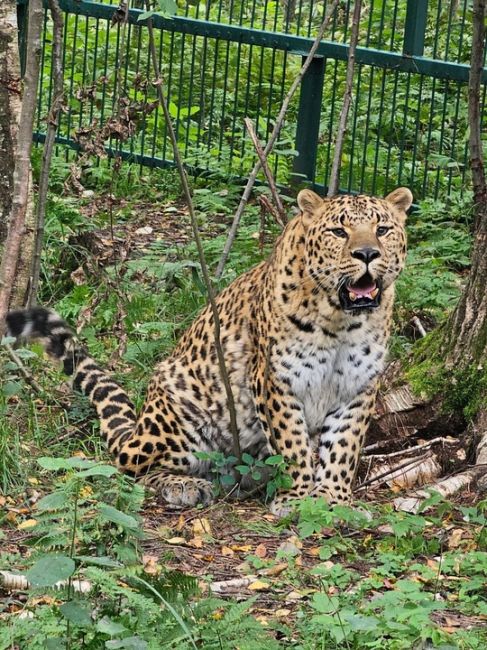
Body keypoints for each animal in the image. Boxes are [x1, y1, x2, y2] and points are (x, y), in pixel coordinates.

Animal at [6, 187, 412, 516]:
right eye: (338, 232)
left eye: (383, 230)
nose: (366, 253)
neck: (342, 323)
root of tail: (136, 428)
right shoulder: (276, 382)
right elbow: (292, 444)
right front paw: (297, 498)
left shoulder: (358, 388)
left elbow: (343, 447)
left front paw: (334, 499)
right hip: (180, 415)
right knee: (131, 469)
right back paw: (186, 485)